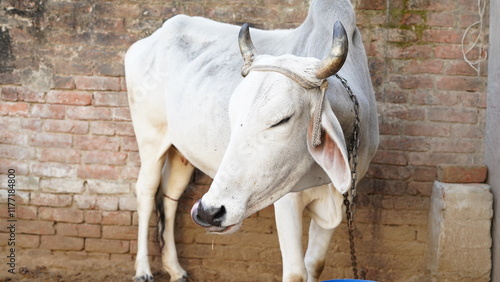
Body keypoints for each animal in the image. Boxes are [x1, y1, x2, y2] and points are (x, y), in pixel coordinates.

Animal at [125, 0, 378, 280]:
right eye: (232, 112)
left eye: (282, 119)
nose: (208, 212)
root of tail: (150, 40)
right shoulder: (287, 200)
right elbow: (296, 272)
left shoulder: (338, 198)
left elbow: (315, 264)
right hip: (151, 139)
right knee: (146, 192)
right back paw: (143, 269)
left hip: (182, 152)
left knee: (170, 196)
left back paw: (175, 269)